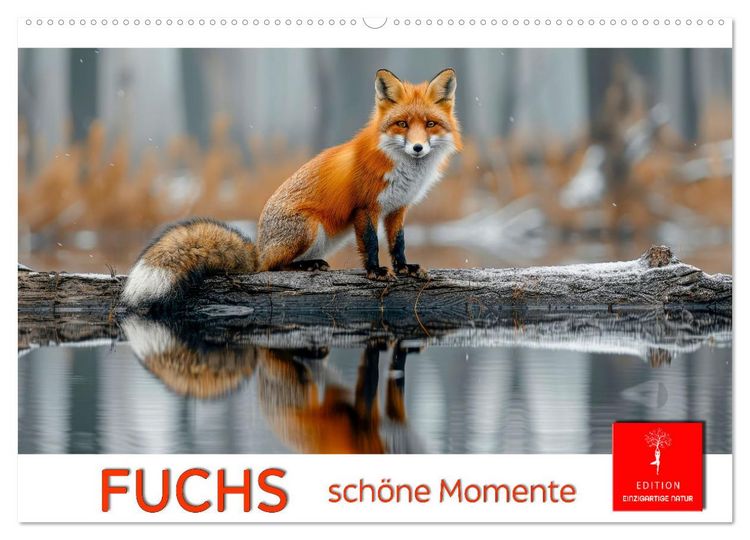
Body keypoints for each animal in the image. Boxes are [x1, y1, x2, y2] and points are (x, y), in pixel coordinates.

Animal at [121, 68, 461, 308]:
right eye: (402, 124)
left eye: (430, 124)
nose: (417, 148)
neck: (403, 170)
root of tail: (258, 248)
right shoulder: (365, 207)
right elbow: (371, 244)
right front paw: (376, 272)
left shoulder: (397, 208)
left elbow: (397, 243)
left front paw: (404, 268)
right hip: (309, 227)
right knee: (273, 269)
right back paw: (303, 265)